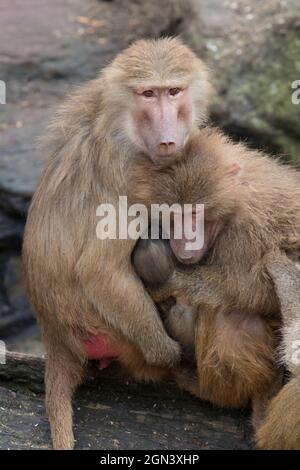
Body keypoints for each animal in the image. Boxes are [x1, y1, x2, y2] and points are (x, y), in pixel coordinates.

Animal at [22, 38, 213, 450]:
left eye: (174, 91)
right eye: (148, 94)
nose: (168, 139)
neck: (121, 124)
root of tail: (55, 337)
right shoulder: (132, 173)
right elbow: (101, 270)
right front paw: (168, 353)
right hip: (111, 333)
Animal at [132, 127, 300, 436]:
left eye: (196, 214)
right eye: (173, 216)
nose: (186, 240)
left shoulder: (246, 231)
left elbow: (251, 290)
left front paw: (167, 283)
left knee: (223, 311)